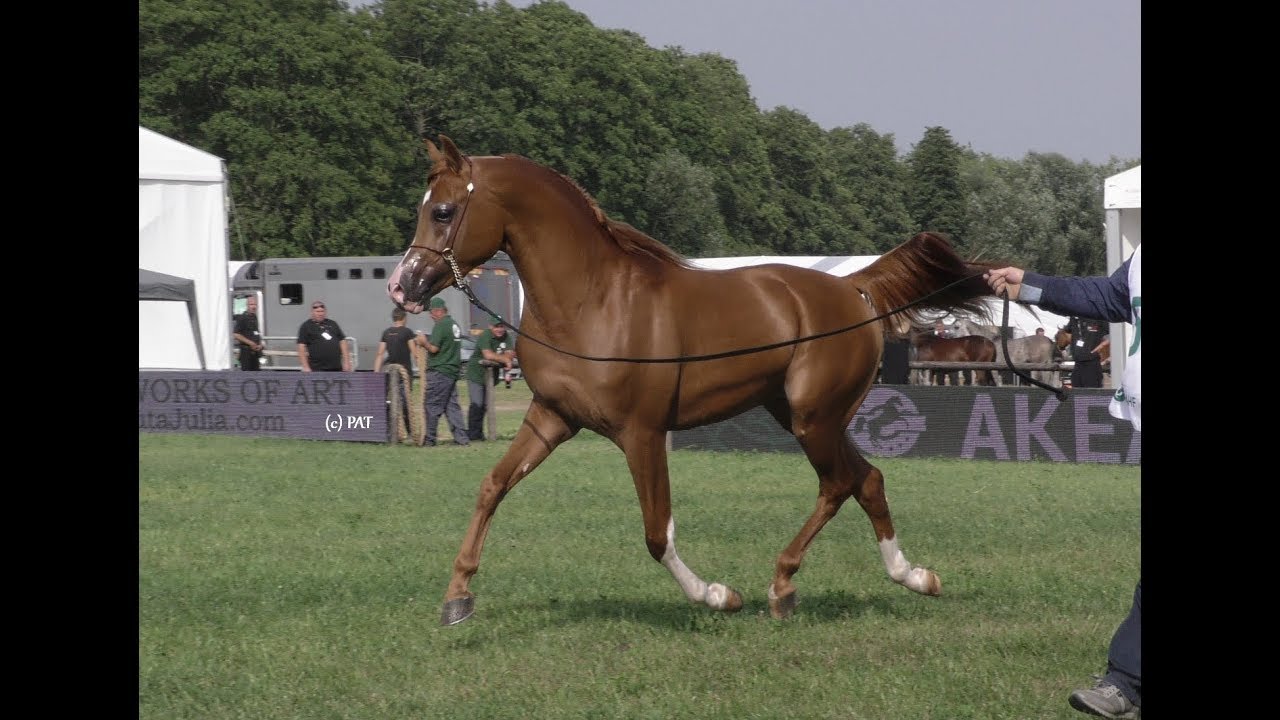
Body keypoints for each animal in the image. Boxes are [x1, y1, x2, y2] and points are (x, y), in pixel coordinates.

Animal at [388, 136, 997, 626]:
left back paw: (789, 584)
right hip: (800, 415)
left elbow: (658, 532)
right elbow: (492, 486)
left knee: (841, 483)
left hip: (814, 418)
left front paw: (717, 595)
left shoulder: (642, 433)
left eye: (443, 210)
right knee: (865, 480)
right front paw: (457, 597)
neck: (592, 302)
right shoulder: (552, 417)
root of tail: (855, 289)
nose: (401, 286)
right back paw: (903, 577)